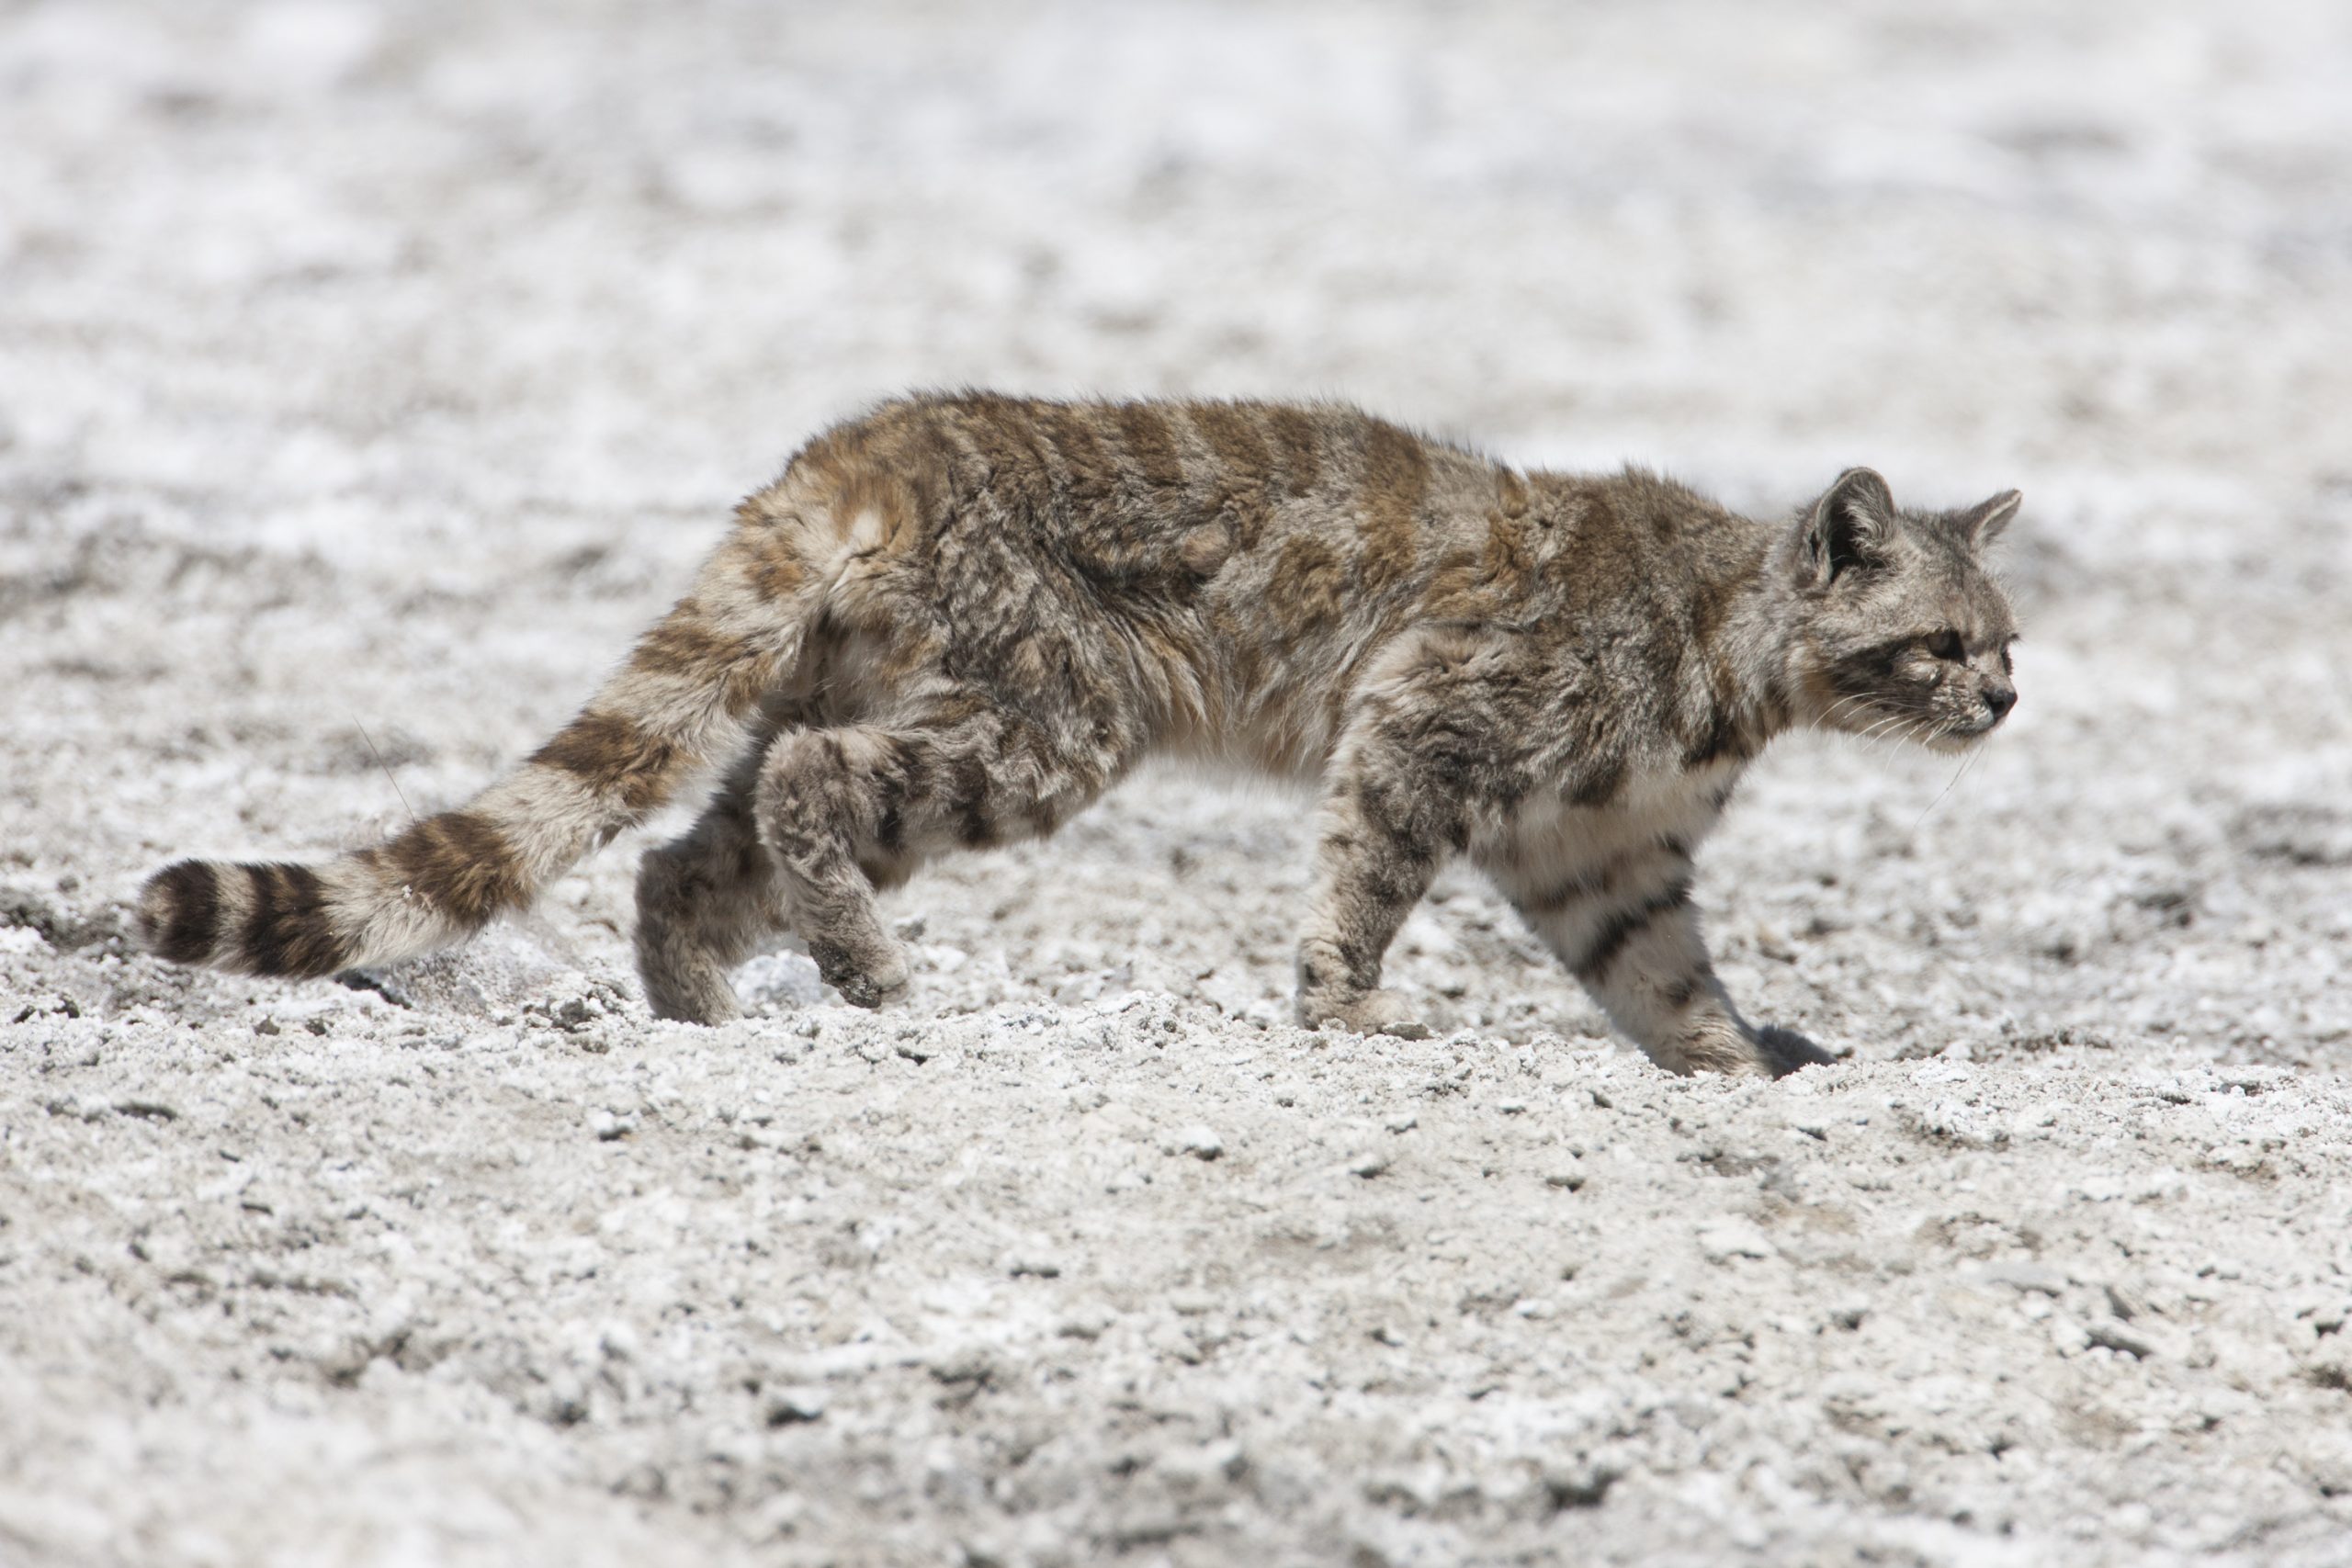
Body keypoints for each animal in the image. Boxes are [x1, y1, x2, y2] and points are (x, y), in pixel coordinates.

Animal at [133, 394, 2022, 1081]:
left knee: (687, 846)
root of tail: (867, 442)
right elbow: (1360, 887)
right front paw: (1345, 1008)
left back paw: (704, 1001)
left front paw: (1730, 1064)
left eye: (2011, 641)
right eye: (1943, 644)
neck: (1732, 651)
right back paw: (862, 967)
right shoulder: (1426, 723)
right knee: (806, 795)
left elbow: (1667, 972)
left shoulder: (1602, 847)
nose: (2009, 702)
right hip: (1054, 714)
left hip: (886, 684)